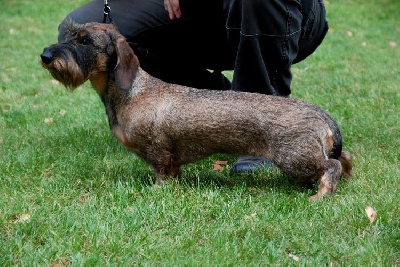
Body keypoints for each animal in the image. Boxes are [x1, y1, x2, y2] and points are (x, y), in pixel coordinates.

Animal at [41, 22, 354, 200]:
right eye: (69, 35)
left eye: (85, 41)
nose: (45, 55)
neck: (133, 92)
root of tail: (322, 115)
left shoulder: (159, 152)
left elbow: (162, 173)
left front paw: (157, 192)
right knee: (345, 158)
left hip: (294, 160)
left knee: (332, 166)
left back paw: (321, 195)